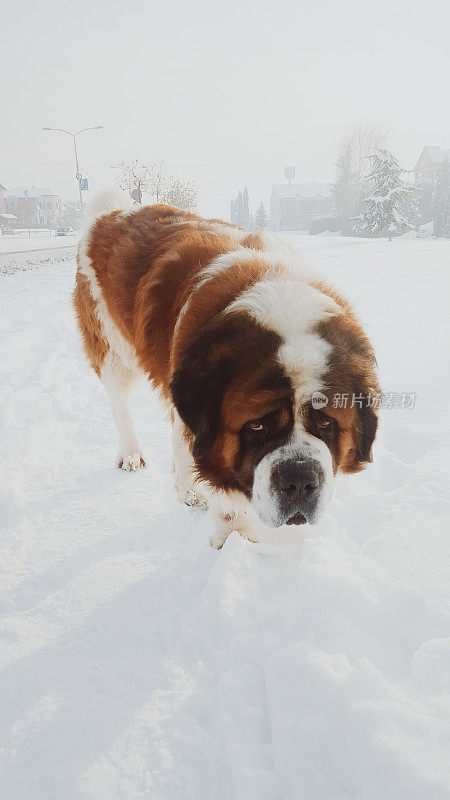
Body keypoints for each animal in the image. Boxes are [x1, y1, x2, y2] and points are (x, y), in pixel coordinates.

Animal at [74, 191, 380, 548]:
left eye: (327, 423)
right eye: (256, 426)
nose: (300, 481)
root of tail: (112, 213)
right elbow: (227, 499)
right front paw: (235, 543)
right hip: (111, 345)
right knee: (121, 403)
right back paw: (133, 455)